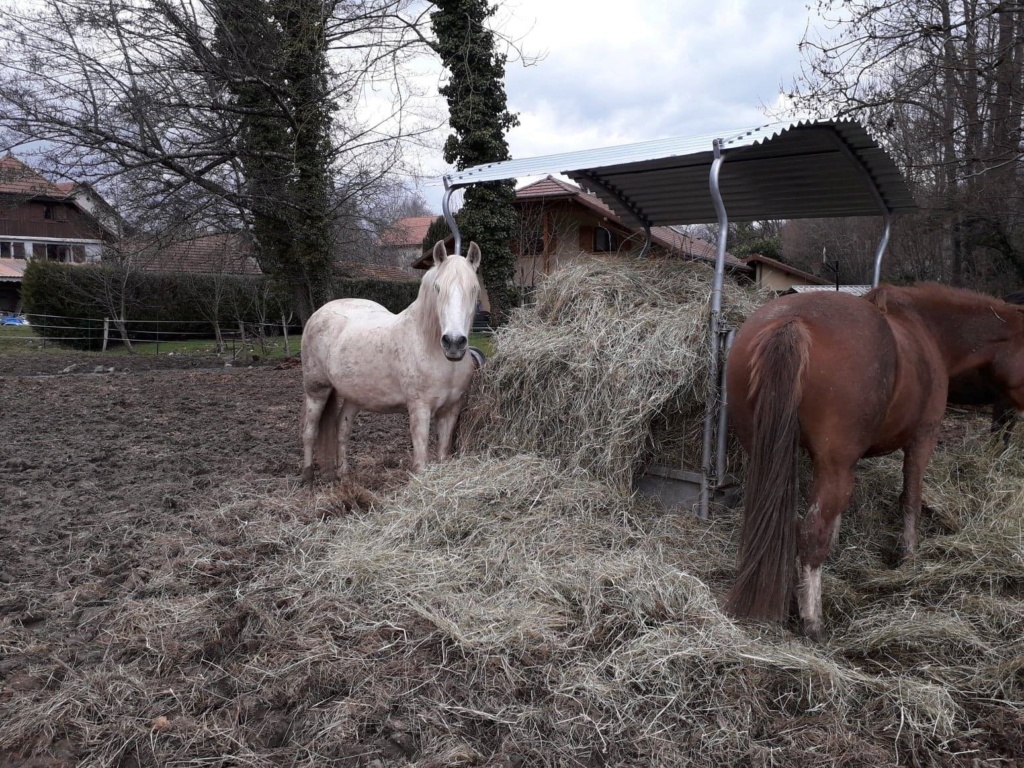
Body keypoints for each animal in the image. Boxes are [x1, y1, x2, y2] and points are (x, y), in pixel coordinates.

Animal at [301, 240, 481, 483]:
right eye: (437, 288)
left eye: (474, 289)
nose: (453, 342)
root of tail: (319, 313)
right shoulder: (419, 409)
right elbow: (421, 458)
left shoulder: (451, 410)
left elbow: (443, 452)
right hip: (316, 390)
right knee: (309, 431)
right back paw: (307, 476)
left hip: (353, 396)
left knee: (342, 428)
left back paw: (344, 474)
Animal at [724, 286, 1024, 638]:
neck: (927, 328)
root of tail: (792, 321)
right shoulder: (923, 437)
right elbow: (911, 498)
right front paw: (907, 555)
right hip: (835, 463)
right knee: (810, 534)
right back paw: (813, 620)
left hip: (764, 450)